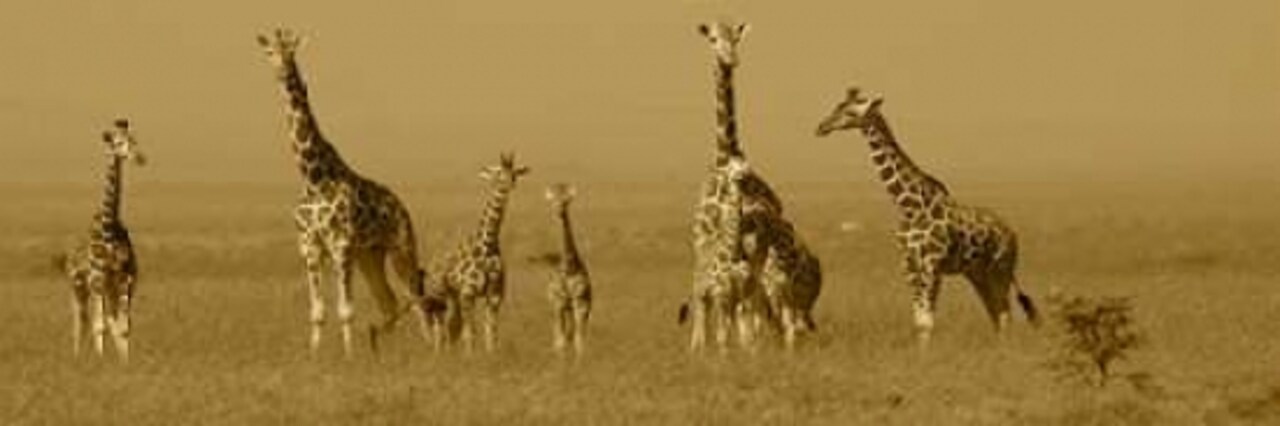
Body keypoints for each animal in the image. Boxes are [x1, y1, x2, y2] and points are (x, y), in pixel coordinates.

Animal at [56, 118, 145, 361]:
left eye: (134, 140)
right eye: (118, 143)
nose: (140, 158)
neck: (109, 229)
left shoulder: (126, 279)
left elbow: (124, 326)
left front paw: (125, 362)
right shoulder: (97, 280)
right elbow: (100, 326)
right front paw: (100, 361)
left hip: (108, 288)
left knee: (109, 320)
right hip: (78, 286)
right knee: (80, 320)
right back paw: (77, 356)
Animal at [256, 29, 430, 356]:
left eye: (291, 52)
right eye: (270, 52)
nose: (283, 73)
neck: (313, 179)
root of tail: (401, 206)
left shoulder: (341, 246)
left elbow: (345, 310)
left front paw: (348, 356)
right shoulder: (310, 247)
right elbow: (318, 311)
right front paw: (315, 354)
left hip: (400, 246)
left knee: (418, 298)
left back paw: (433, 351)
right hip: (369, 256)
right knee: (389, 302)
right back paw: (382, 350)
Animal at [427, 152, 529, 353]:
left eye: (514, 174)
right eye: (498, 174)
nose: (508, 186)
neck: (488, 245)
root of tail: (431, 262)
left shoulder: (495, 295)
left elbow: (492, 332)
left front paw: (490, 355)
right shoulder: (468, 293)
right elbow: (471, 332)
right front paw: (470, 357)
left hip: (453, 297)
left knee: (451, 326)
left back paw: (448, 353)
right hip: (439, 294)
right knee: (439, 327)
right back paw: (438, 353)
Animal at [540, 183, 592, 355]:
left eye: (567, 201)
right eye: (553, 201)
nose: (559, 211)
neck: (569, 267)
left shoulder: (580, 303)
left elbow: (579, 341)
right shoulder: (559, 304)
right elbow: (561, 341)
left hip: (578, 307)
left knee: (572, 334)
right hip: (558, 308)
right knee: (558, 335)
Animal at [815, 86, 1040, 345]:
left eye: (851, 113)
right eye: (837, 106)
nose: (821, 127)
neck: (909, 206)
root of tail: (1012, 234)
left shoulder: (932, 263)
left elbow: (927, 321)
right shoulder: (909, 264)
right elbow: (920, 320)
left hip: (1000, 268)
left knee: (1004, 314)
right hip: (977, 273)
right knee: (996, 313)